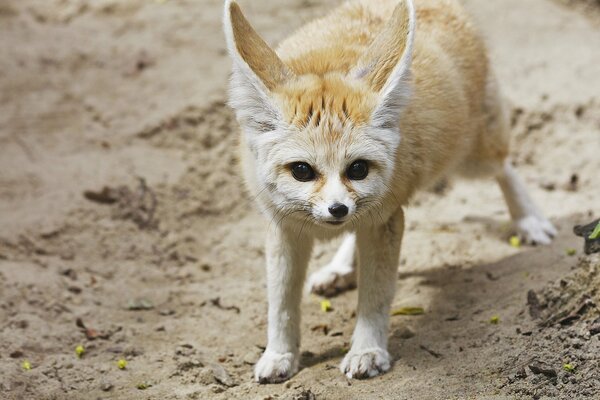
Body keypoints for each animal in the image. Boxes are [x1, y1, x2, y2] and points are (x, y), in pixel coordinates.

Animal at [223, 0, 556, 382]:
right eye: (302, 171)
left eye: (358, 169)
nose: (337, 210)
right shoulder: (285, 227)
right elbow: (280, 303)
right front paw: (279, 354)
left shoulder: (385, 220)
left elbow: (375, 297)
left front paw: (367, 350)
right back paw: (340, 268)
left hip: (473, 157)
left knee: (505, 165)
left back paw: (528, 219)